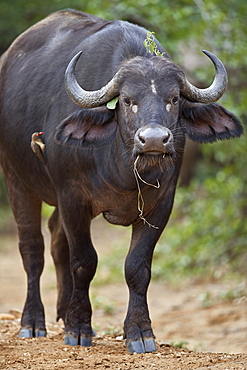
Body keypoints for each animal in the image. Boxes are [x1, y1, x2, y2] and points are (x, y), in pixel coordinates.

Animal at [0, 10, 243, 354]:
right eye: (127, 100)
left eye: (173, 99)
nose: (153, 140)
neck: (123, 171)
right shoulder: (72, 196)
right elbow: (83, 261)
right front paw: (78, 328)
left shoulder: (161, 205)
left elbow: (137, 267)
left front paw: (140, 331)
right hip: (16, 179)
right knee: (32, 249)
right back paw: (33, 321)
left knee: (57, 239)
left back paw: (62, 311)